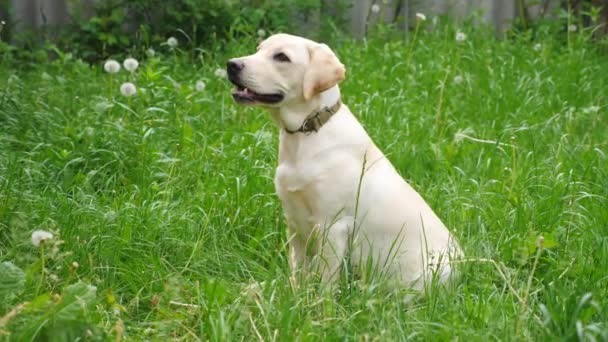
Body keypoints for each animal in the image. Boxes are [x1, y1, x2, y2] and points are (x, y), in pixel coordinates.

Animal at [227, 32, 460, 294]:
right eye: (258, 49)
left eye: (282, 57)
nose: (231, 64)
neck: (306, 132)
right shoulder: (294, 224)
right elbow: (297, 271)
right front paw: (293, 294)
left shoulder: (333, 226)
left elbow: (326, 282)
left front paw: (318, 304)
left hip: (429, 273)